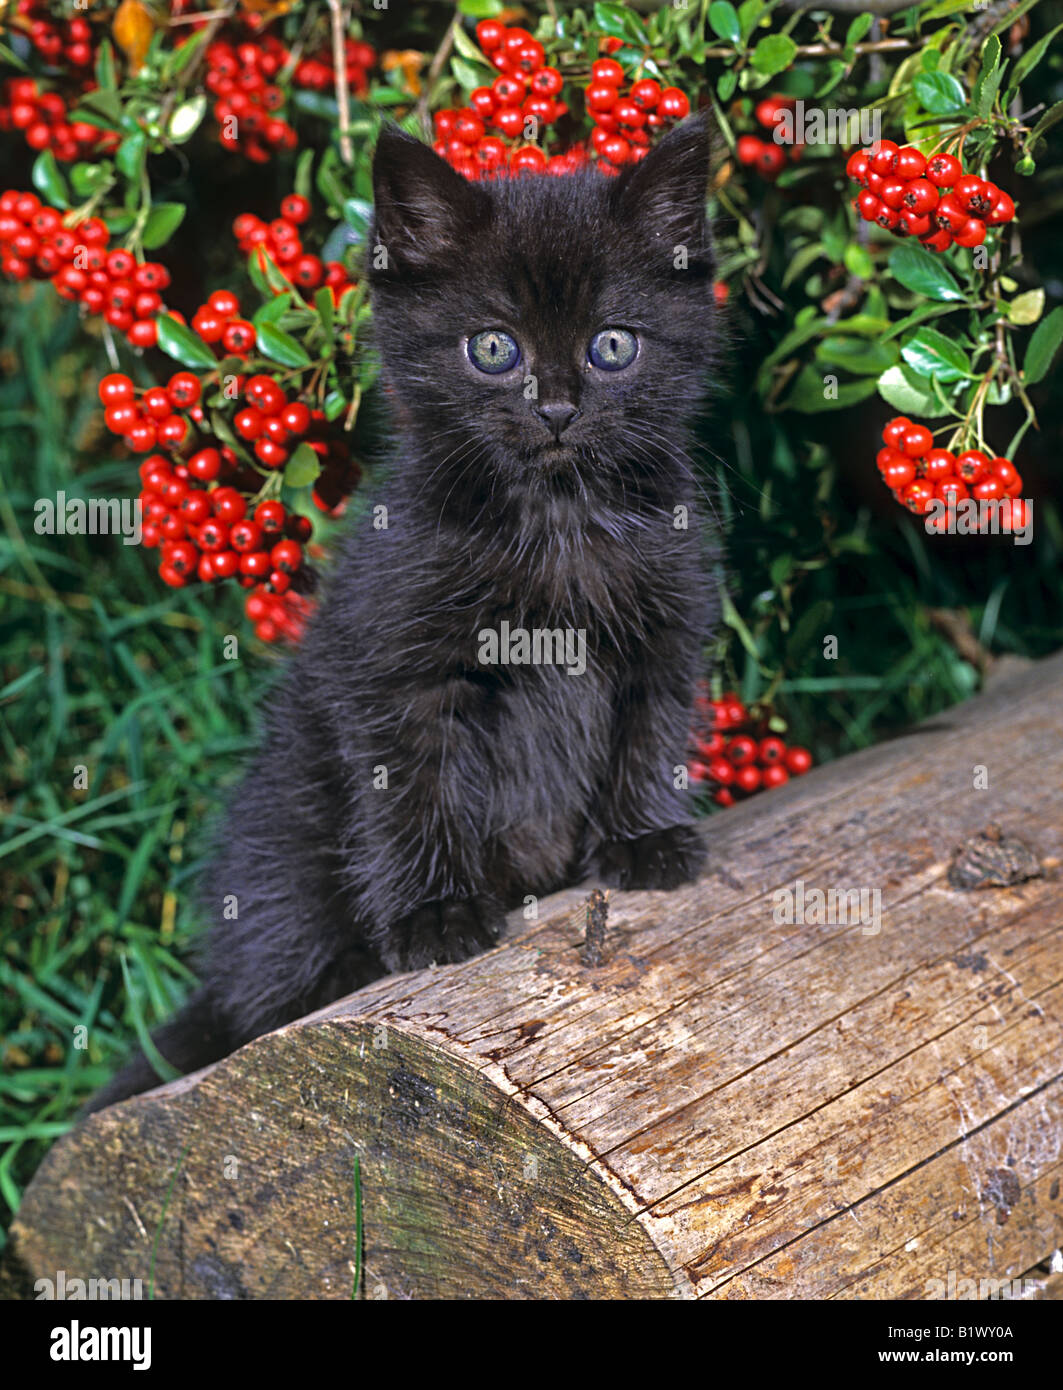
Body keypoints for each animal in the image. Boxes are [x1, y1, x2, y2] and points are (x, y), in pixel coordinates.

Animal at [87, 122, 722, 1117]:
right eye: (492, 348)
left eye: (613, 345)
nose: (555, 409)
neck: (553, 523)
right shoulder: (393, 664)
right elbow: (411, 788)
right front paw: (435, 916)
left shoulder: (666, 627)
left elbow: (648, 730)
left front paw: (641, 839)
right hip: (284, 831)